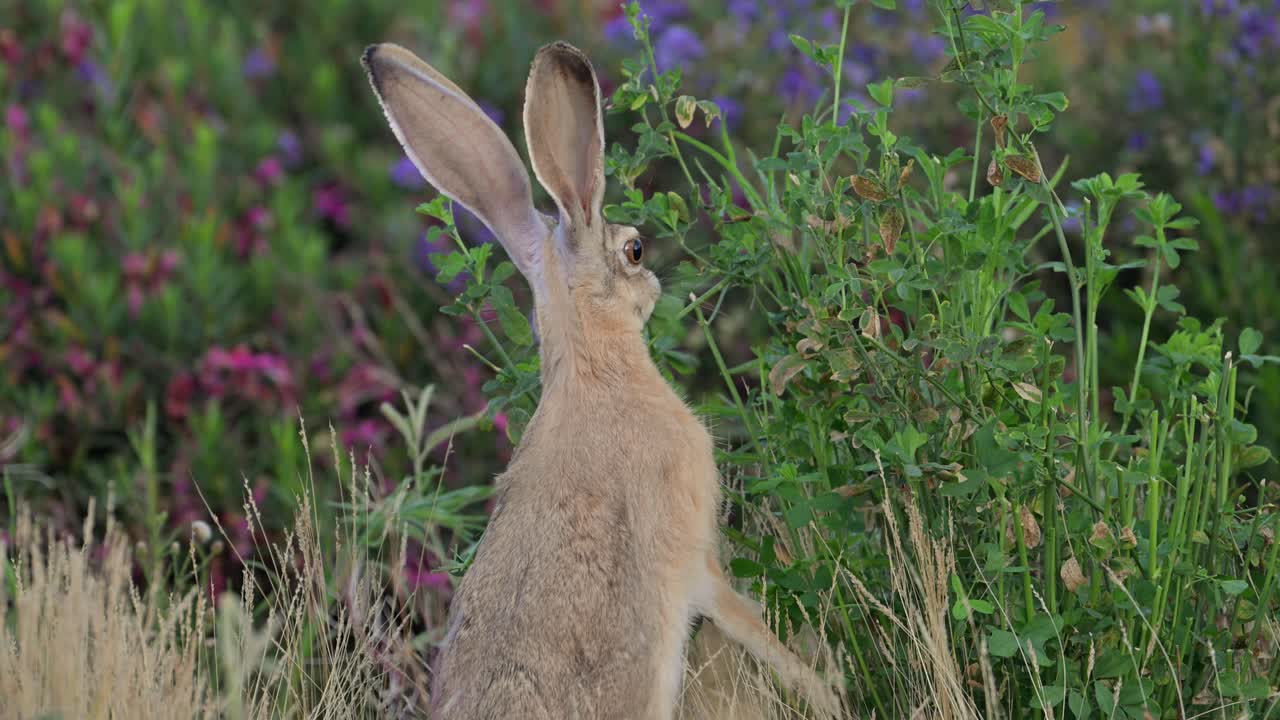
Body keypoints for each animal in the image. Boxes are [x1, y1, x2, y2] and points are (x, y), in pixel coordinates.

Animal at [361, 40, 843, 720]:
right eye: (635, 250)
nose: (657, 280)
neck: (593, 368)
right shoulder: (696, 558)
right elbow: (750, 624)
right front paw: (831, 689)